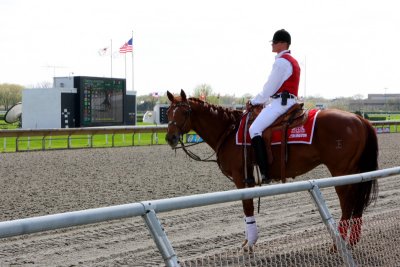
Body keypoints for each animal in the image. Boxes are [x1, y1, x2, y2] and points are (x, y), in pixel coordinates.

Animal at [165, 89, 378, 249]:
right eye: (168, 113)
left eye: (184, 112)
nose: (170, 138)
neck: (229, 131)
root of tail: (360, 119)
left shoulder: (241, 178)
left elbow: (247, 207)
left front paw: (249, 244)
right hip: (355, 173)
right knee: (357, 205)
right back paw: (351, 241)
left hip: (341, 174)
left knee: (347, 205)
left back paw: (338, 245)